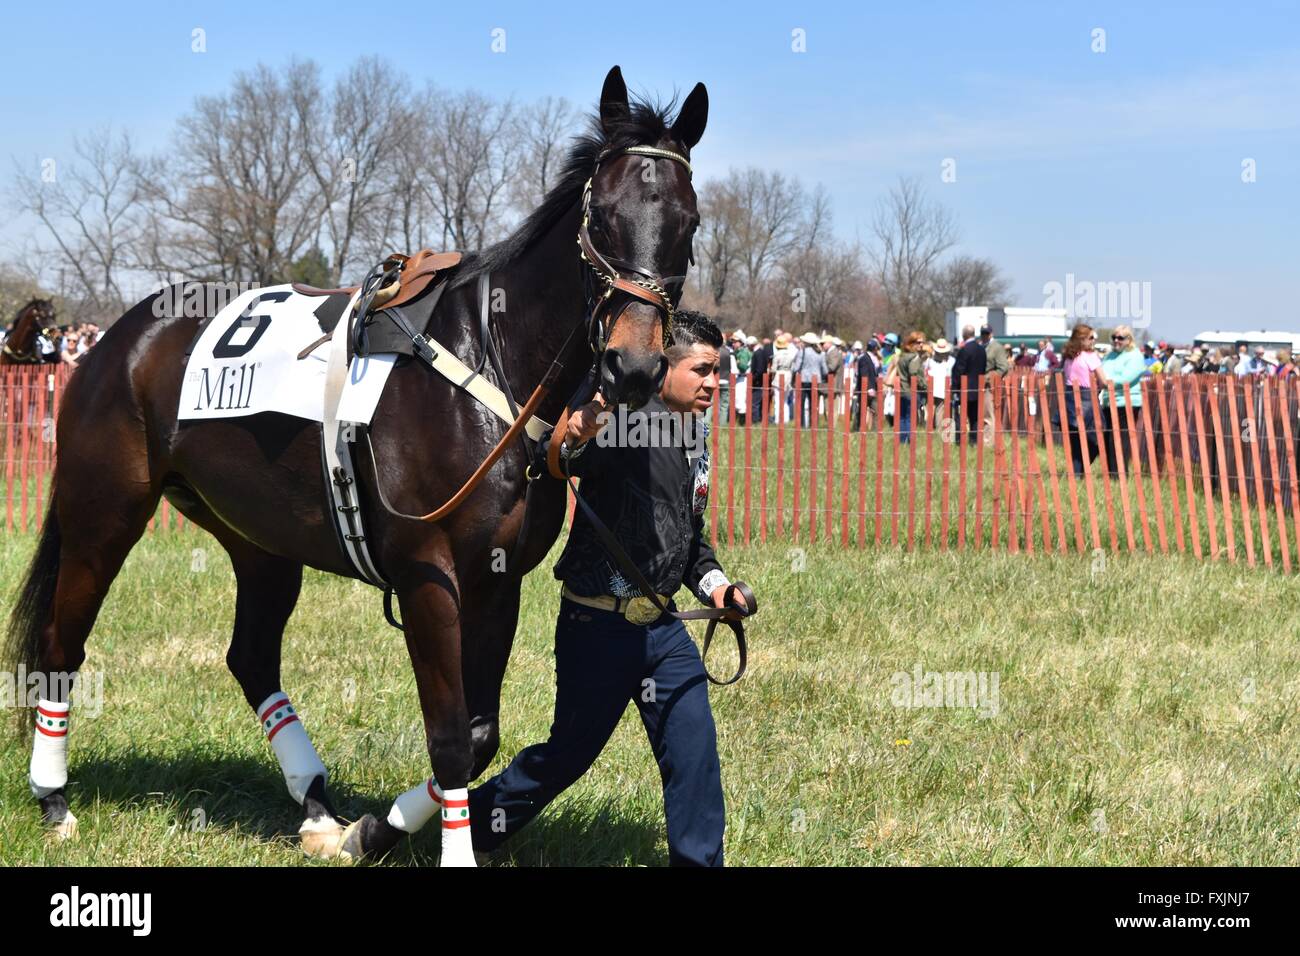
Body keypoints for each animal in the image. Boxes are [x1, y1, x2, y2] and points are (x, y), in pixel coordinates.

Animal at [4, 65, 708, 865]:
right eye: (606, 217)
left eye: (687, 222)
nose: (634, 365)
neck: (486, 359)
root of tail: (114, 338)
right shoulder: (428, 576)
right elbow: (450, 738)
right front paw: (443, 847)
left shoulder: (498, 583)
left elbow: (479, 733)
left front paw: (373, 828)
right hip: (104, 514)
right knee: (61, 642)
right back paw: (54, 798)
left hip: (259, 539)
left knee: (251, 657)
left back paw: (314, 803)